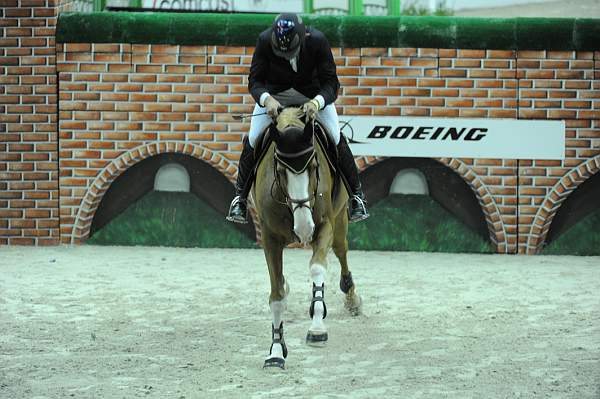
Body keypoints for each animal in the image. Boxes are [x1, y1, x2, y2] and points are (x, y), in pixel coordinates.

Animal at [250, 108, 360, 370]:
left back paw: (352, 299)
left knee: (341, 254)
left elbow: (317, 269)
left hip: (340, 222)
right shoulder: (269, 239)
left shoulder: (325, 227)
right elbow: (276, 296)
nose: (303, 227)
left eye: (314, 166)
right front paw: (276, 352)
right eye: (280, 171)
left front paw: (317, 328)